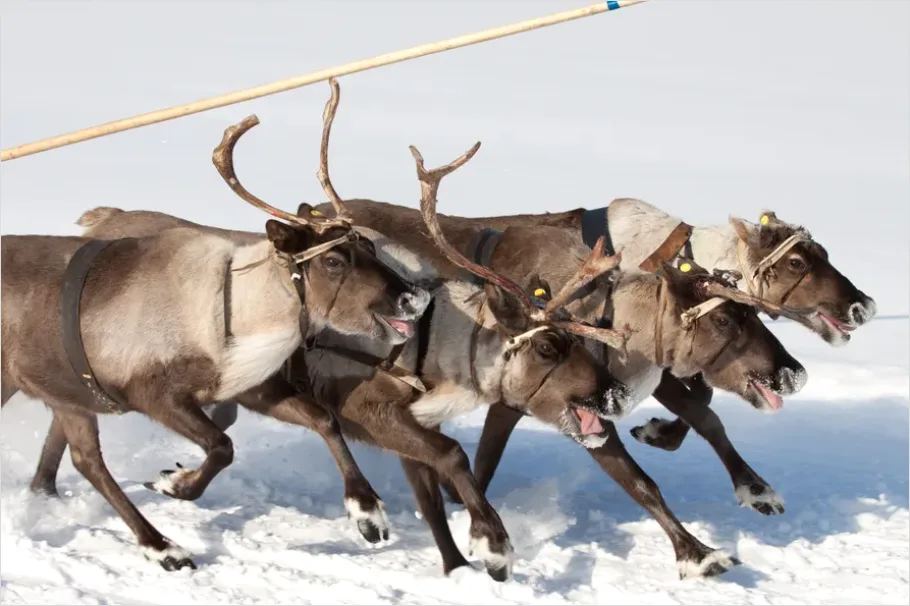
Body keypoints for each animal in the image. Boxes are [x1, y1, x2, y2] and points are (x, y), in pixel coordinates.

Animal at [0, 79, 432, 571]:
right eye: (334, 260)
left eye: (369, 247)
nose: (415, 297)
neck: (235, 313)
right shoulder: (154, 393)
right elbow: (223, 445)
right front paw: (174, 482)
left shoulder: (250, 387)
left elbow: (324, 420)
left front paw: (368, 513)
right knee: (89, 460)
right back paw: (162, 545)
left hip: (66, 392)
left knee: (85, 458)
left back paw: (154, 543)